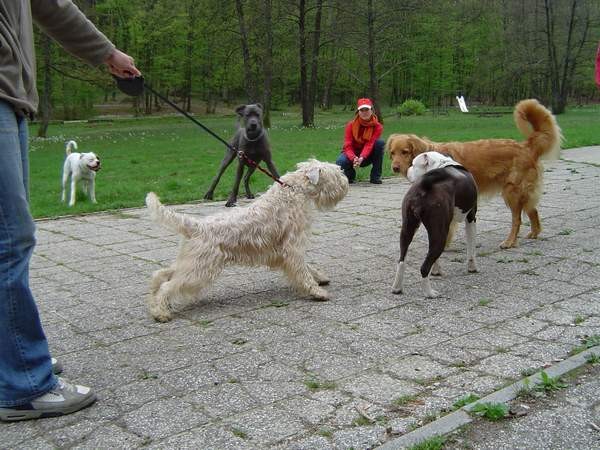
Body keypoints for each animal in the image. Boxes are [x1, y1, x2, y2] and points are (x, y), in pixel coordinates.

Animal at [145, 160, 350, 322]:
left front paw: (320, 278)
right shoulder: (292, 247)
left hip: (191, 263)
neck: (294, 192)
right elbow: (302, 270)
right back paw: (160, 313)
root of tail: (196, 225)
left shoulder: (288, 251)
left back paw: (154, 299)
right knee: (168, 286)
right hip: (198, 270)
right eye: (335, 173)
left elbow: (307, 267)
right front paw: (317, 292)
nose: (346, 182)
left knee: (161, 274)